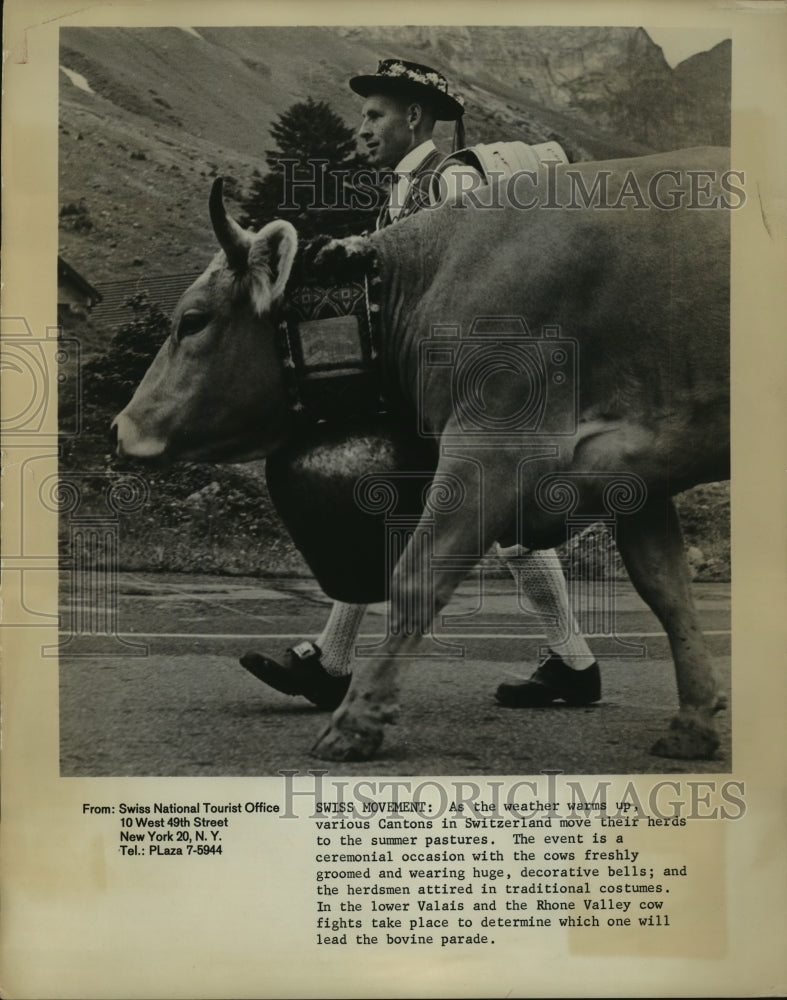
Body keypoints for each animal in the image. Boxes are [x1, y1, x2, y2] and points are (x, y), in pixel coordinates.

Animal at [112, 145, 732, 760]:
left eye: (192, 321)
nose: (121, 428)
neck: (423, 285)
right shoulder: (634, 474)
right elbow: (668, 593)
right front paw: (695, 721)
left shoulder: (491, 448)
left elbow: (415, 578)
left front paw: (356, 722)